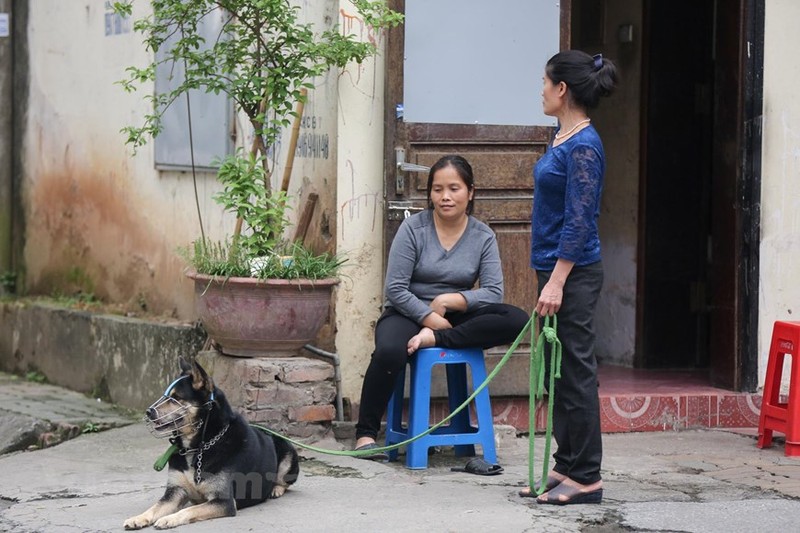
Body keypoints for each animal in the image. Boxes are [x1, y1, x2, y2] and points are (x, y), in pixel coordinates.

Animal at [123, 358, 298, 528]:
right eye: (166, 396)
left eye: (176, 398)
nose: (148, 412)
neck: (198, 446)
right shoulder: (176, 491)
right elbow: (155, 507)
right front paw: (138, 518)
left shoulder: (224, 501)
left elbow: (190, 510)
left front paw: (169, 519)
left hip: (288, 457)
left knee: (285, 482)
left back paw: (276, 489)